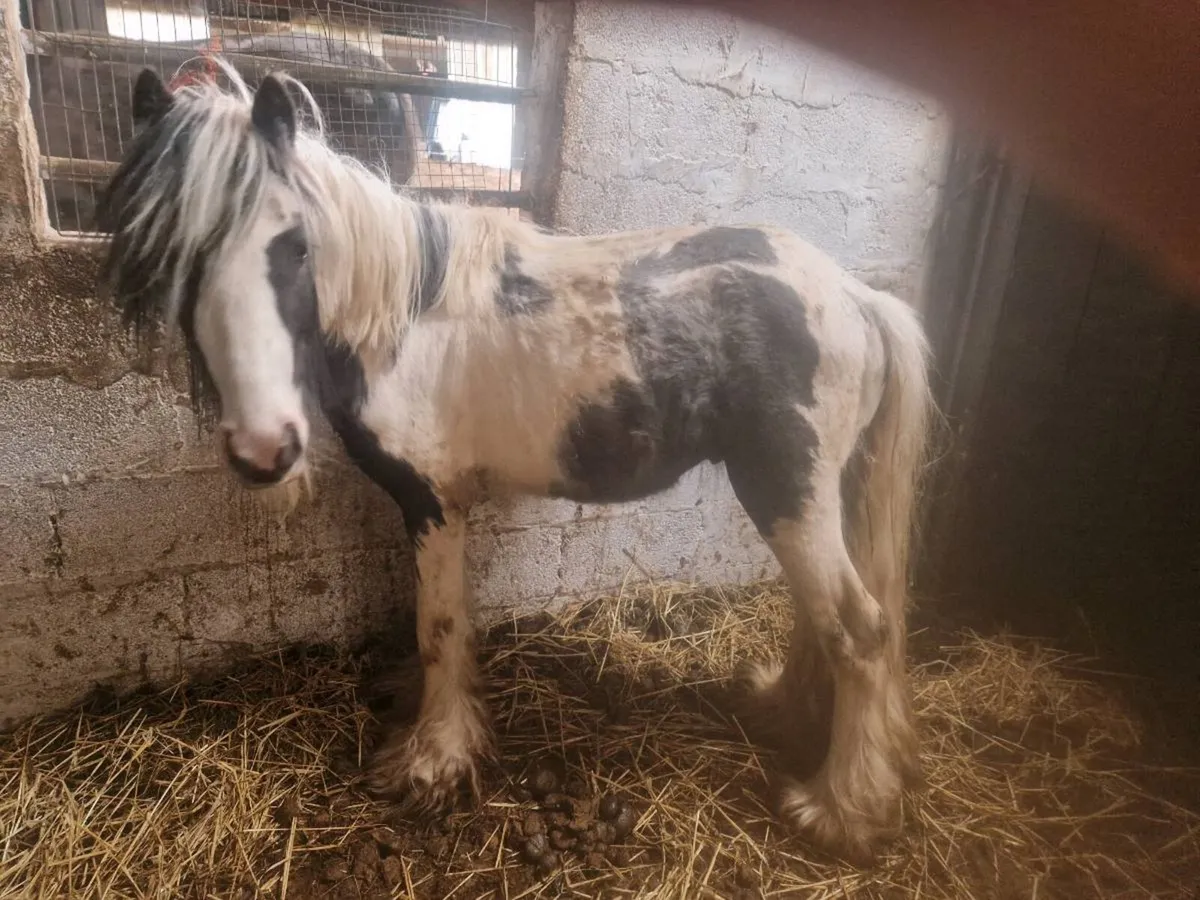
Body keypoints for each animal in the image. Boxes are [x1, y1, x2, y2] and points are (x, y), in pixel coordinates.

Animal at [95, 62, 934, 862]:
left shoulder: (433, 501)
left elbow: (438, 625)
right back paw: (786, 712)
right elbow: (445, 628)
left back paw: (841, 811)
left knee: (859, 628)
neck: (402, 318)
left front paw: (431, 762)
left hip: (786, 488)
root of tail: (855, 296)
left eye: (295, 245)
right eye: (170, 258)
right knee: (824, 617)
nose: (265, 449)